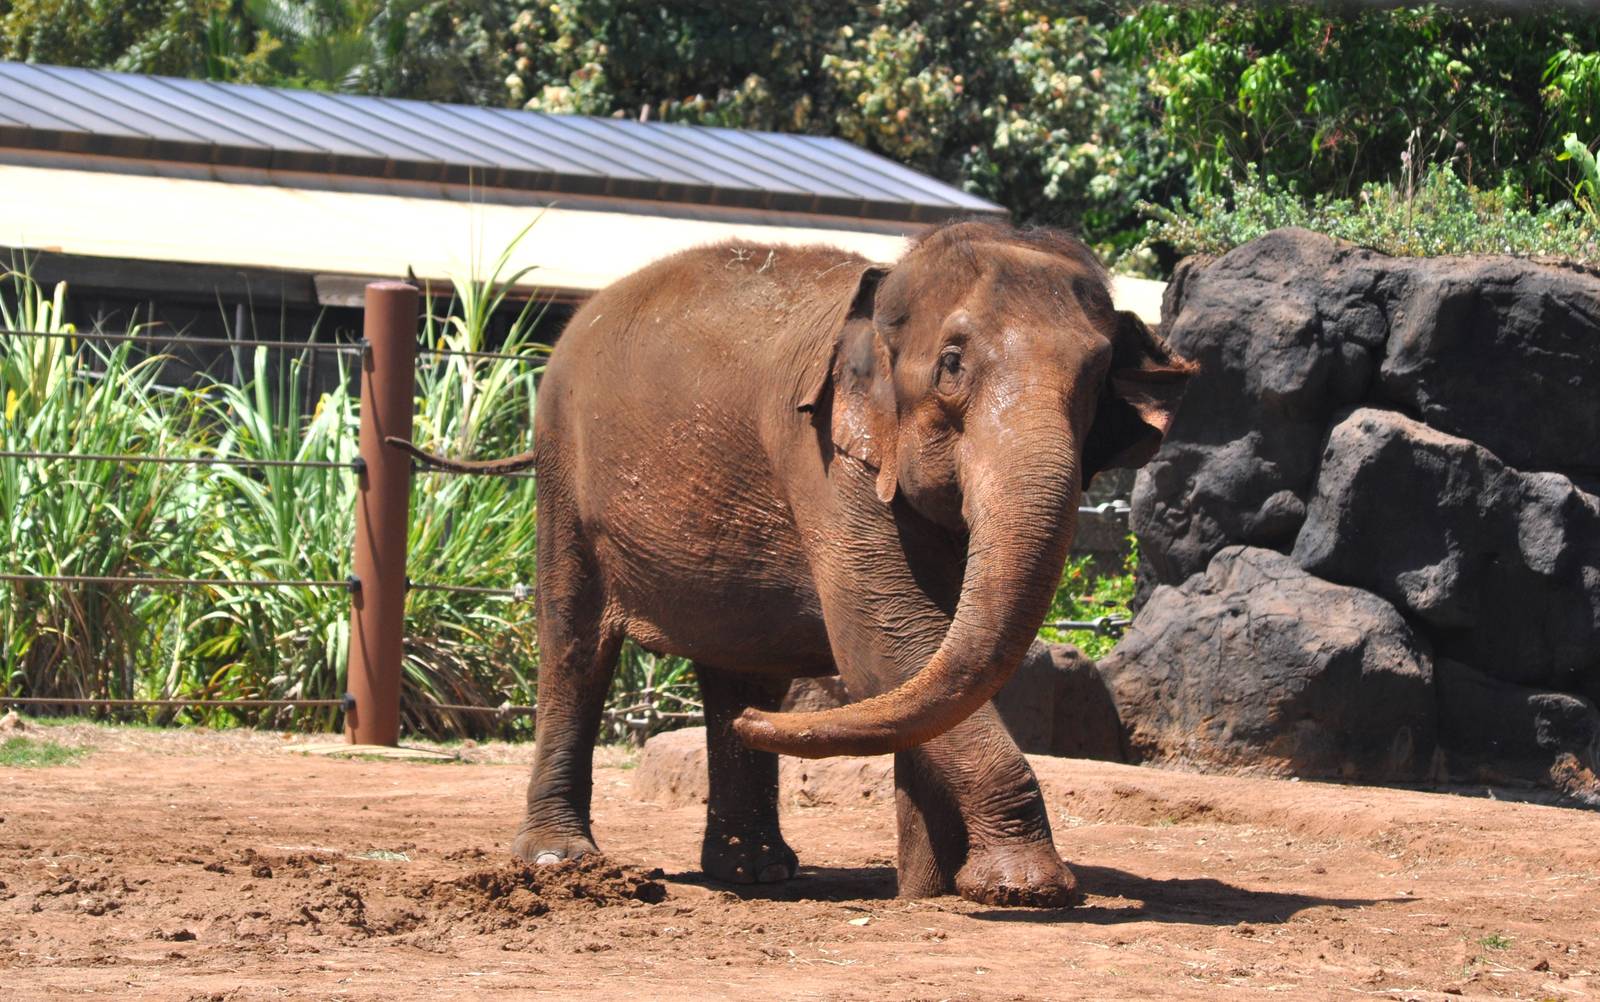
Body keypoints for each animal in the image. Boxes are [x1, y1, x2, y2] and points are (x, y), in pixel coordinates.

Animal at [395, 220, 1193, 907]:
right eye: (952, 365)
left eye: (1095, 379)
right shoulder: (821, 454)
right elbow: (885, 639)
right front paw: (1022, 889)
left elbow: (926, 654)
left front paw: (931, 892)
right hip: (562, 461)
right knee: (574, 646)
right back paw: (561, 861)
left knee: (738, 669)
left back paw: (755, 866)